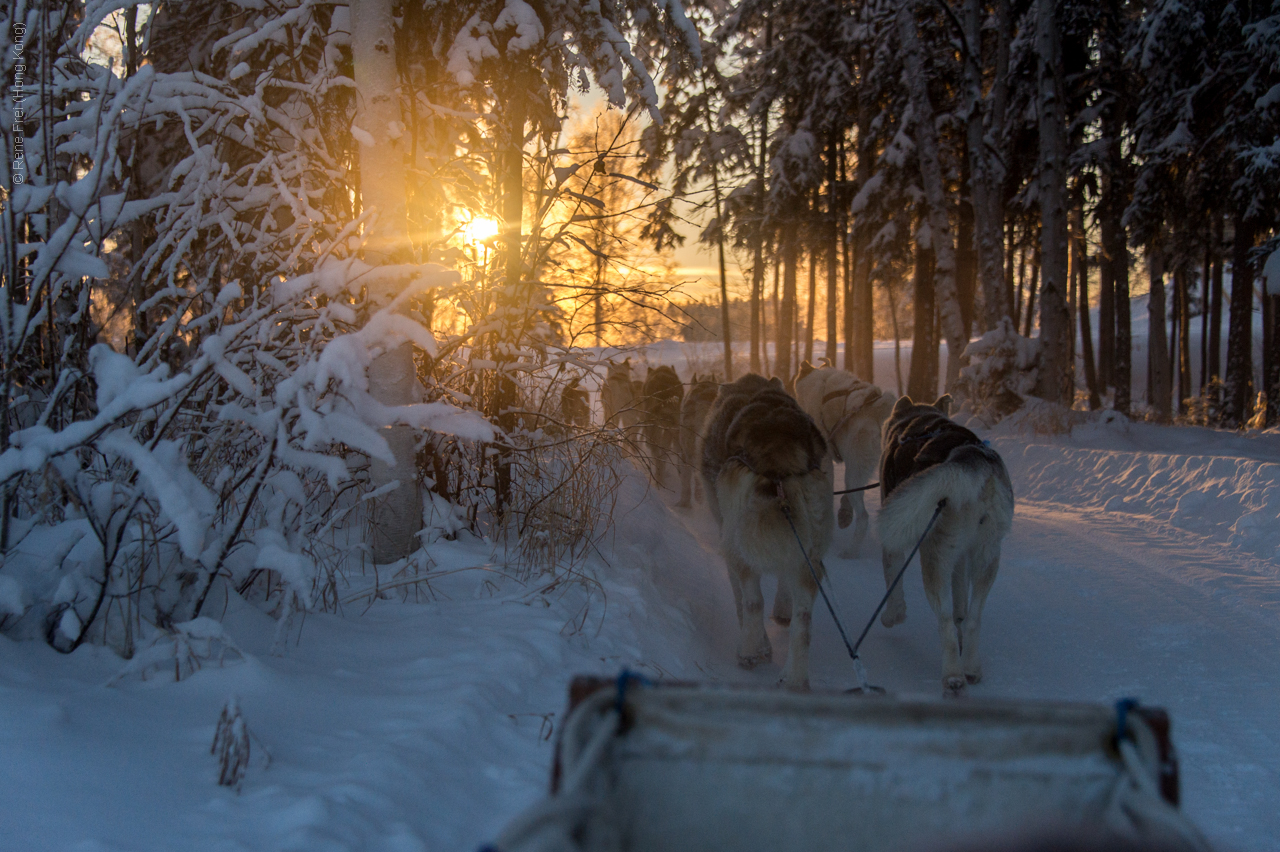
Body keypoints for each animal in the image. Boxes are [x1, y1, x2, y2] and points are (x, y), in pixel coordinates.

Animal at [706, 373, 834, 690]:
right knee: (803, 621)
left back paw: (750, 651)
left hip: (738, 542)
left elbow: (742, 601)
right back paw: (794, 678)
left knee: (753, 602)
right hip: (808, 556)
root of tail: (779, 446)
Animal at [875, 394, 1013, 695]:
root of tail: (973, 460)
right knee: (972, 618)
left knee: (946, 622)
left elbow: (894, 586)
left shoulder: (895, 544)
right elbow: (961, 607)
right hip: (986, 558)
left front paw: (892, 616)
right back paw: (970, 667)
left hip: (934, 560)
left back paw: (953, 676)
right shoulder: (960, 559)